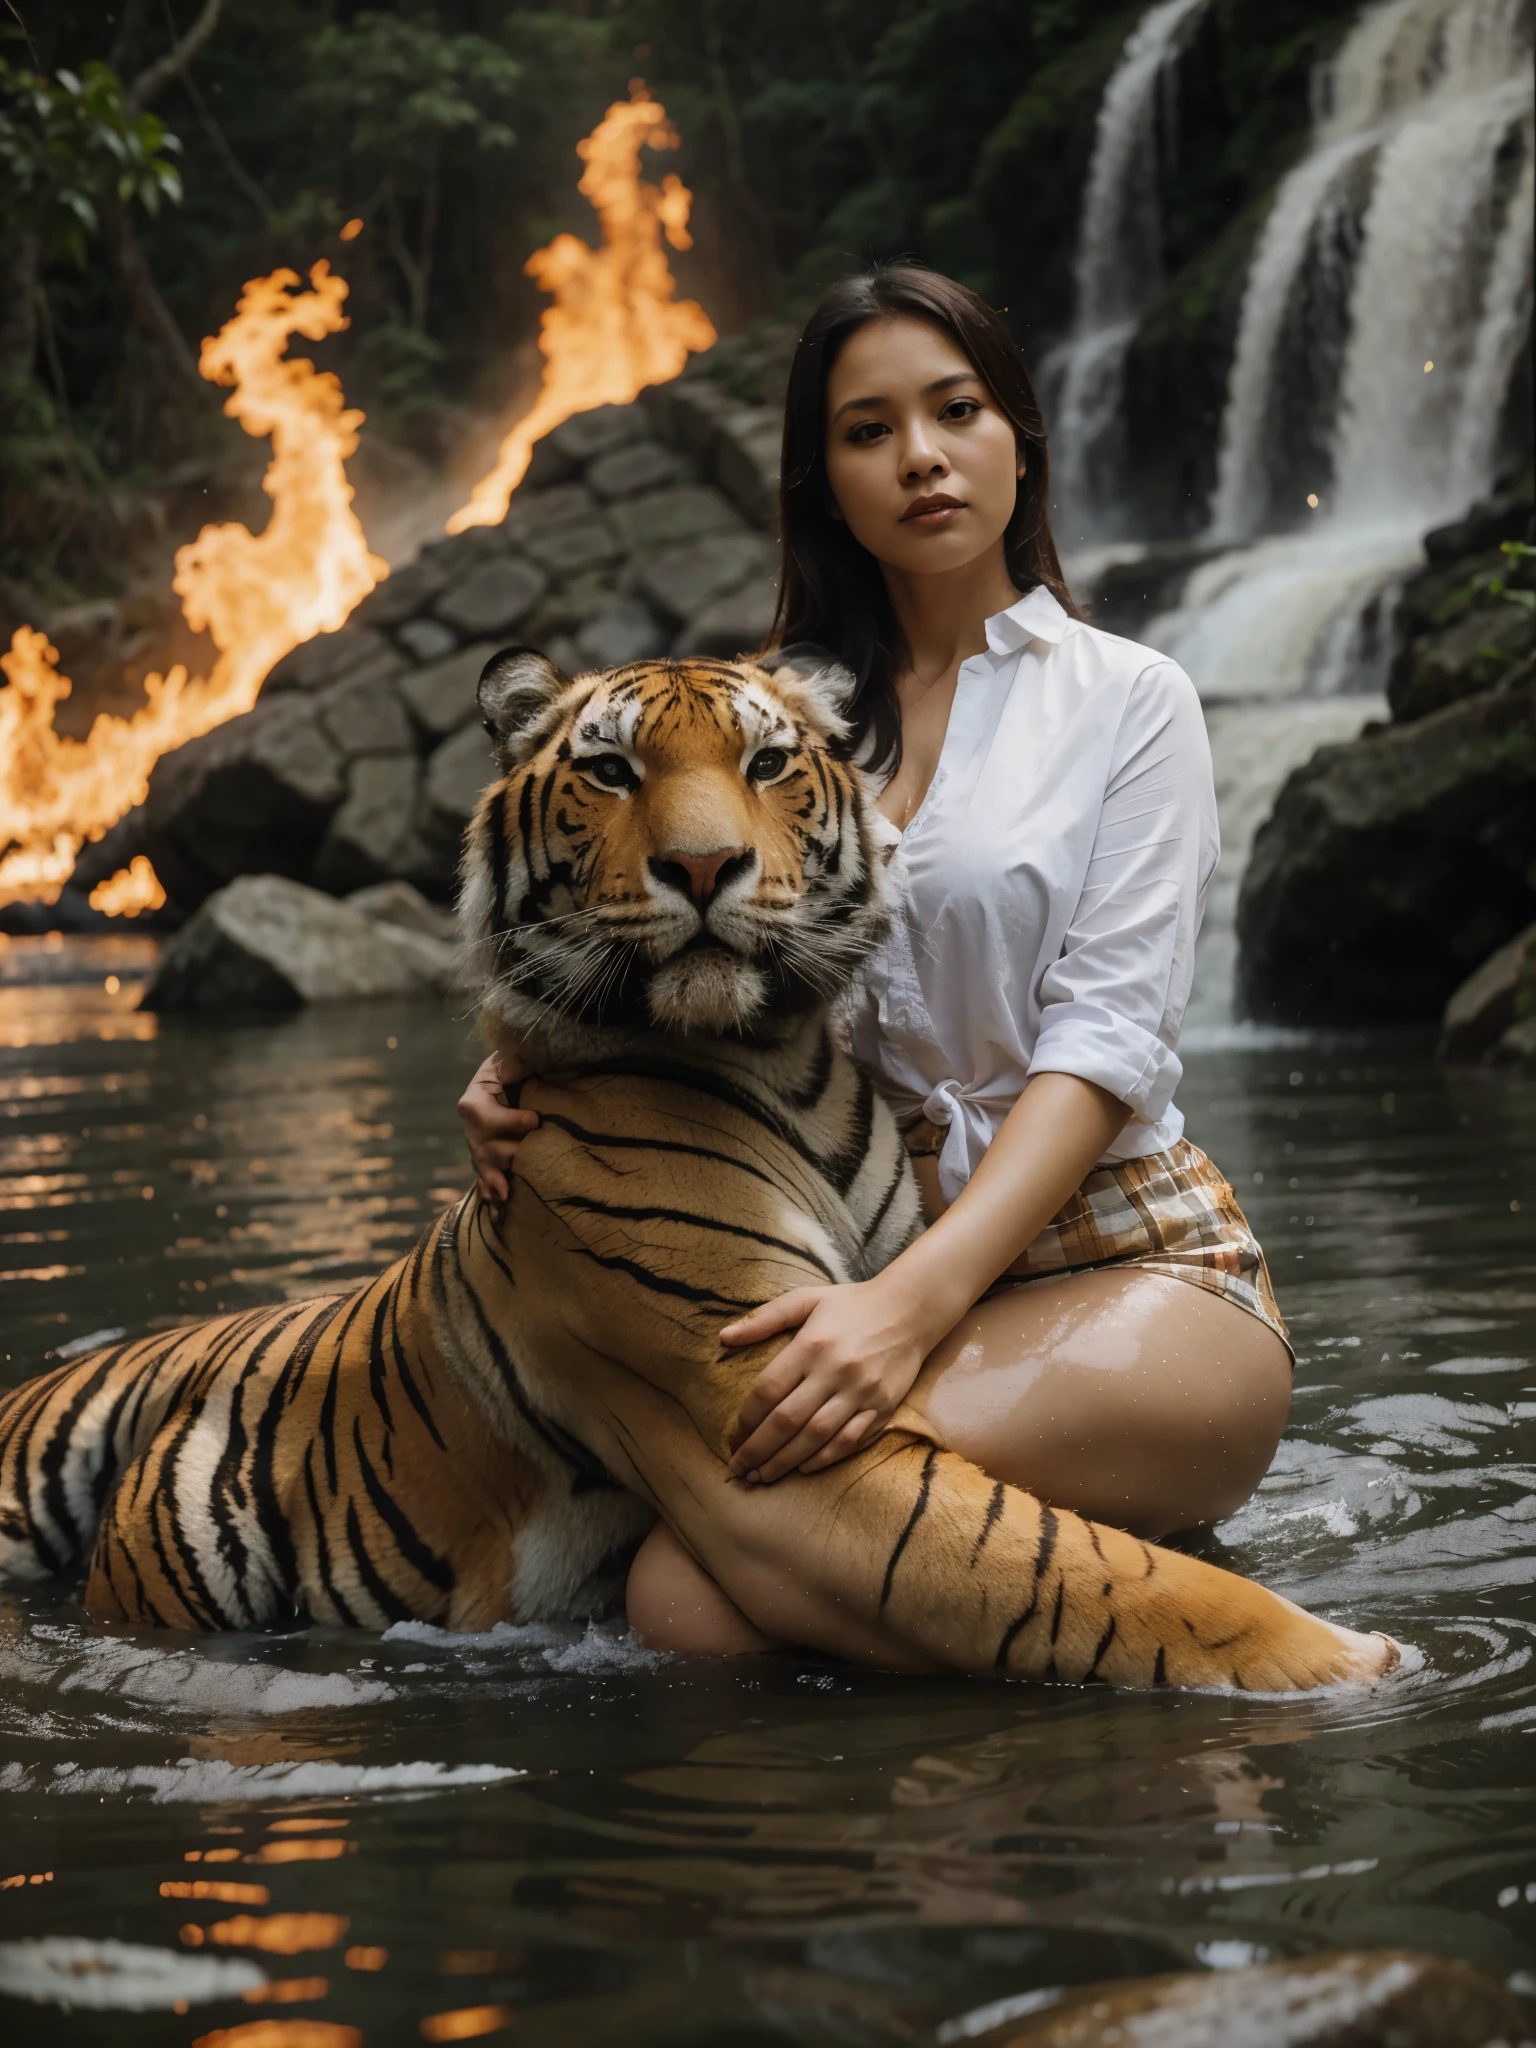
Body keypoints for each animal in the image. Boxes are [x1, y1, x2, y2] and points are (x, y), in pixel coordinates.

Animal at [0, 655, 1400, 1695]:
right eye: (612, 769)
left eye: (766, 763)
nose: (704, 867)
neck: (782, 1062)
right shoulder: (760, 1417)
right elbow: (1083, 1568)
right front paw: (1354, 1660)